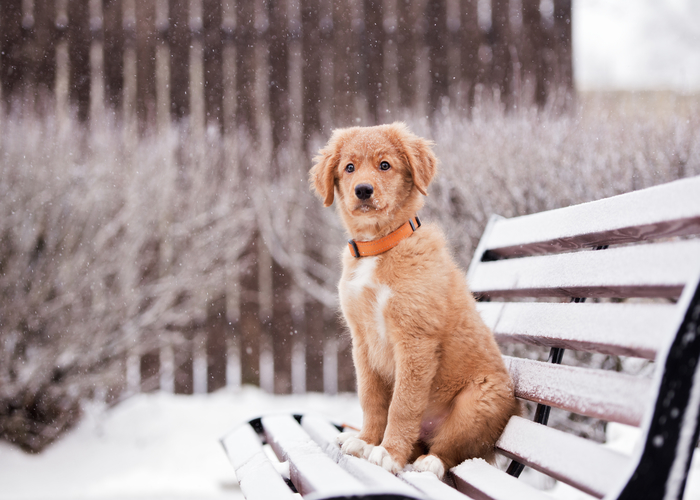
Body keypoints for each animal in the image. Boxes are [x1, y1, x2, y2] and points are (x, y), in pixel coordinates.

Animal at [308, 123, 516, 478]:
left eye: (385, 165)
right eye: (349, 168)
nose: (363, 190)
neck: (379, 246)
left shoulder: (415, 339)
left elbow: (402, 405)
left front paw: (389, 453)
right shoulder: (361, 341)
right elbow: (372, 399)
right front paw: (366, 441)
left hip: (480, 399)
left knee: (454, 449)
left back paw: (429, 461)